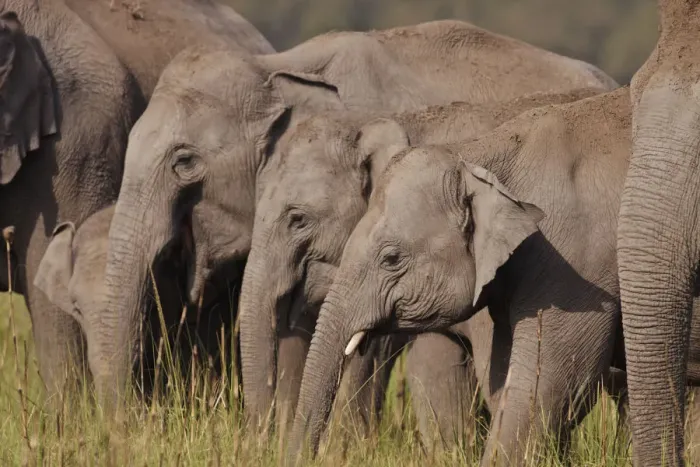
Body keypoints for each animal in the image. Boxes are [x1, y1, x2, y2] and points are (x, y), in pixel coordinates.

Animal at [286, 86, 632, 466]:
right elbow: (502, 378)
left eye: (391, 259)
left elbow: (552, 384)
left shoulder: (571, 264)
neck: (474, 156)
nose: (302, 455)